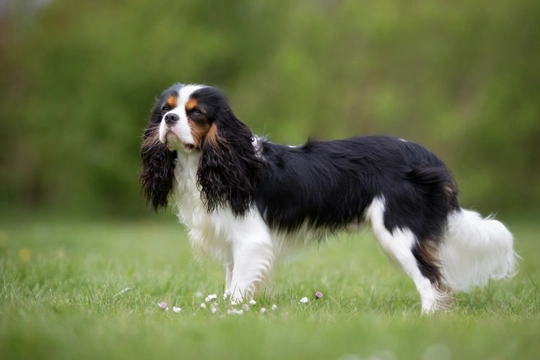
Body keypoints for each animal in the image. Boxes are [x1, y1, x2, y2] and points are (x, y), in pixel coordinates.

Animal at [141, 83, 516, 312]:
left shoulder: (250, 240)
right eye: (166, 110)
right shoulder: (233, 244)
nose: (169, 119)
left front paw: (230, 314)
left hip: (399, 232)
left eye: (195, 113)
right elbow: (233, 282)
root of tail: (426, 157)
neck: (219, 160)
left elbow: (238, 288)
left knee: (430, 280)